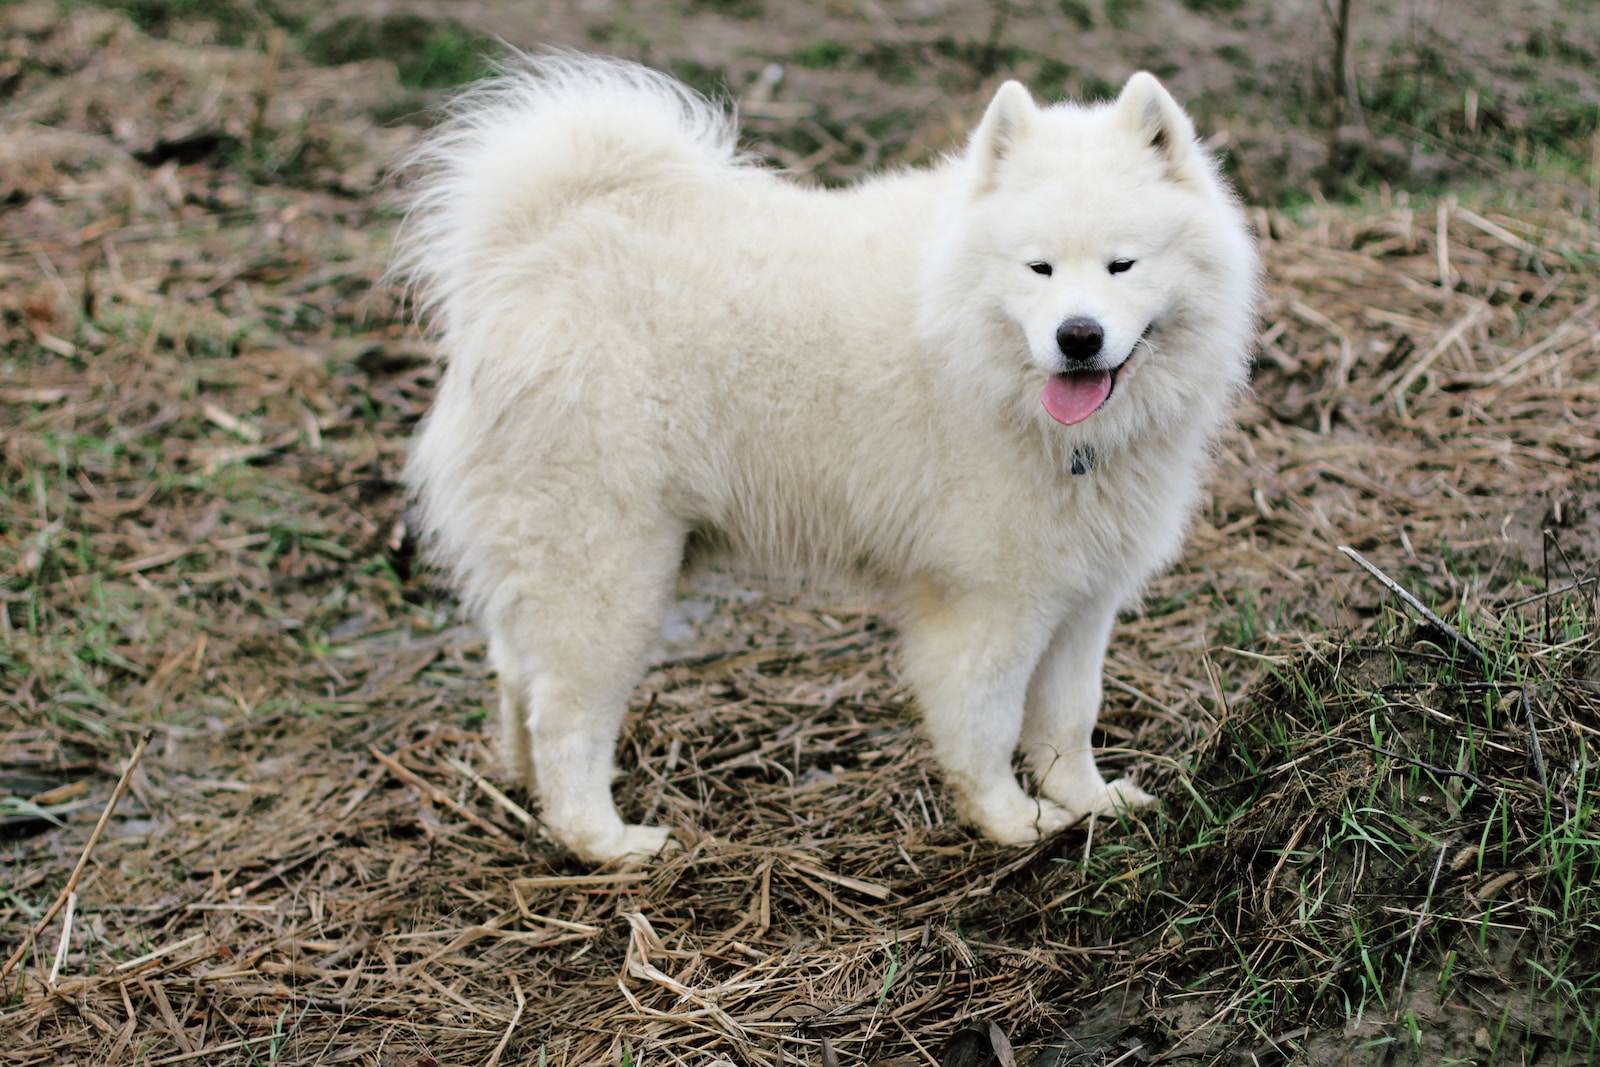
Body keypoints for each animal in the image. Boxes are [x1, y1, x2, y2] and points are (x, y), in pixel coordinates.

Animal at [400, 51, 1260, 870]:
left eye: (1122, 265)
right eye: (1038, 268)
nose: (1077, 336)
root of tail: (526, 259)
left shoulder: (1080, 594)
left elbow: (1069, 718)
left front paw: (1088, 802)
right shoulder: (988, 600)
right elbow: (985, 722)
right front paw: (1012, 820)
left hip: (547, 560)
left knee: (516, 675)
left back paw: (524, 787)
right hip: (610, 574)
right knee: (565, 715)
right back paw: (603, 839)